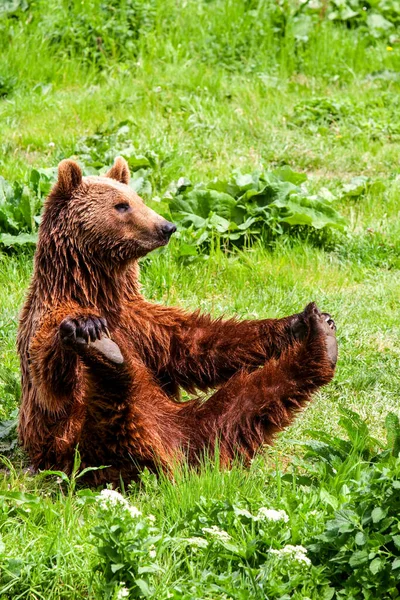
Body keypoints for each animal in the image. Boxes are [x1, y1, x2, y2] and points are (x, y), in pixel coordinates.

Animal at [16, 157, 338, 486]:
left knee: (249, 403)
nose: (166, 226)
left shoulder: (142, 326)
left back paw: (322, 341)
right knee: (109, 415)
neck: (96, 290)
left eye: (139, 199)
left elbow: (197, 346)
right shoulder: (45, 320)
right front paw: (86, 326)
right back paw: (107, 354)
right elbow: (52, 381)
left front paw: (299, 321)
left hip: (196, 428)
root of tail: (171, 460)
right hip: (83, 448)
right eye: (121, 205)